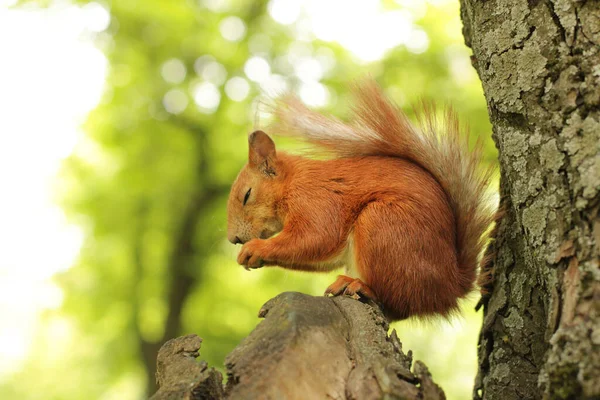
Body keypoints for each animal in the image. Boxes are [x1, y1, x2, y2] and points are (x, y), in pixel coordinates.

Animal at [227, 81, 494, 322]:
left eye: (247, 195)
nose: (234, 239)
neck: (292, 183)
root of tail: (451, 286)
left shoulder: (316, 200)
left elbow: (315, 237)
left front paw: (254, 249)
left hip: (383, 225)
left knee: (399, 301)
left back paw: (361, 286)